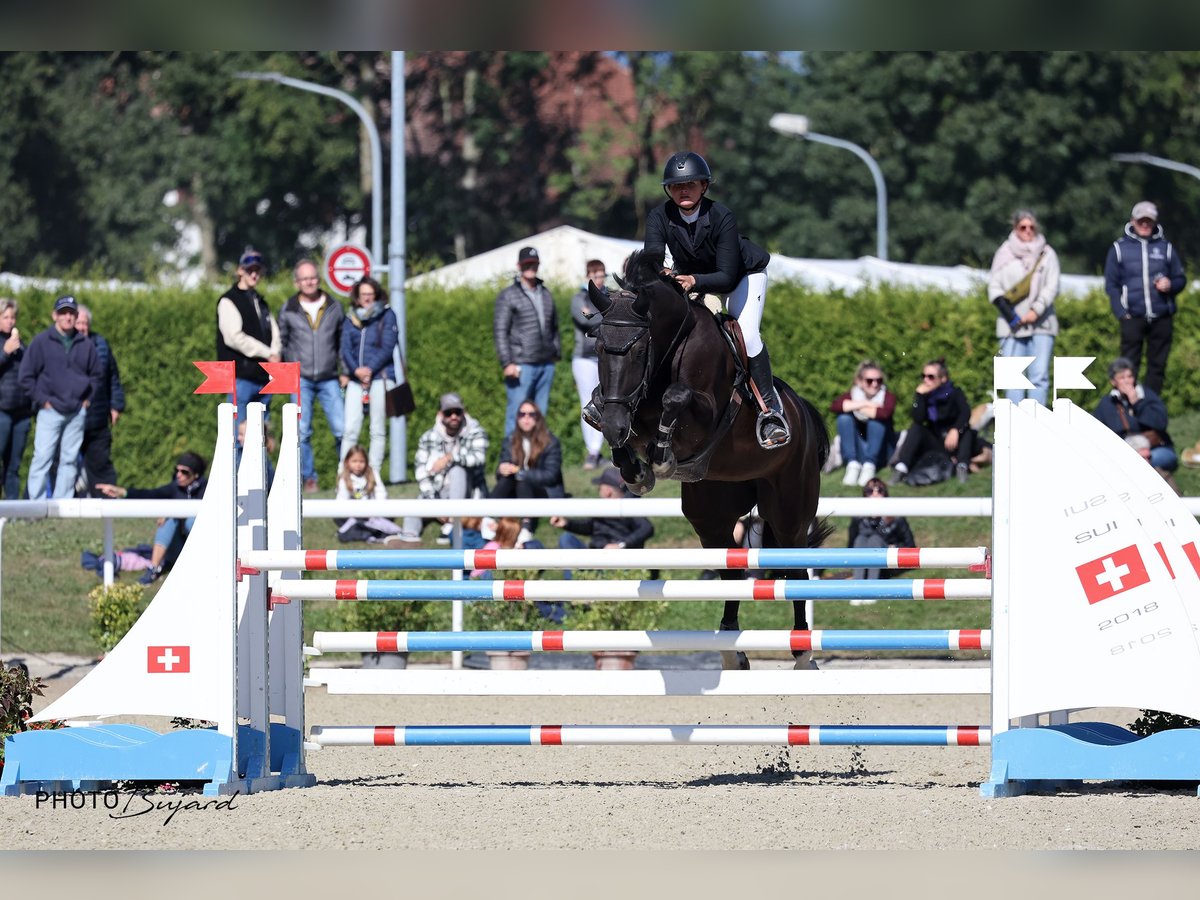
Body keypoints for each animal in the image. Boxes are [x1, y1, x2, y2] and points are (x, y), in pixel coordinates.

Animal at [583, 252, 830, 672]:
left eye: (638, 350)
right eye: (598, 348)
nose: (616, 426)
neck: (670, 348)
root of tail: (803, 412)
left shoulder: (704, 412)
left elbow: (675, 397)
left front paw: (660, 459)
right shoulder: (628, 407)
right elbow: (607, 408)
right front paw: (635, 470)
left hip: (788, 507)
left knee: (795, 567)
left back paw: (802, 652)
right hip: (711, 511)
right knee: (731, 569)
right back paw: (732, 649)